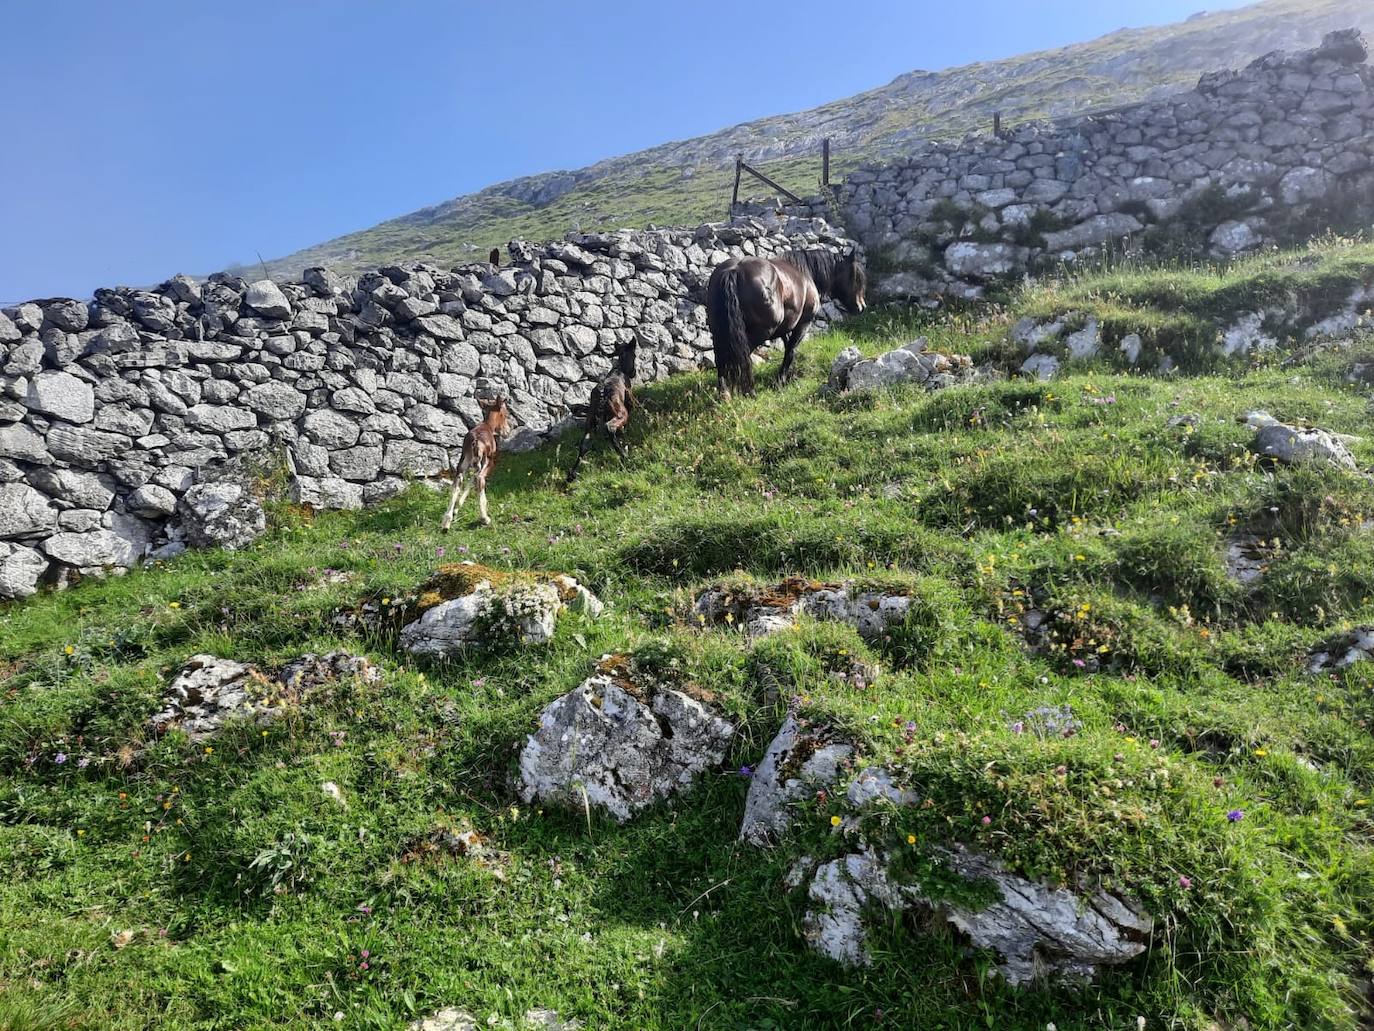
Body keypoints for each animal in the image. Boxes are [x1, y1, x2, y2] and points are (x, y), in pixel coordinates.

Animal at [563, 339, 637, 483]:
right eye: (635, 356)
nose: (634, 372)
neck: (620, 368)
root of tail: (602, 394)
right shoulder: (629, 400)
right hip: (621, 414)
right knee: (610, 428)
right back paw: (623, 455)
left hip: (590, 423)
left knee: (583, 446)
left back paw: (572, 474)